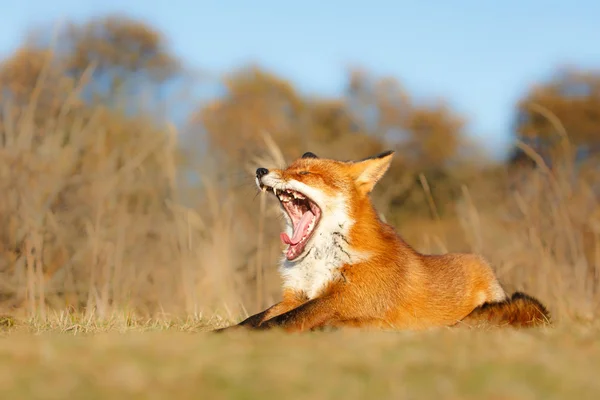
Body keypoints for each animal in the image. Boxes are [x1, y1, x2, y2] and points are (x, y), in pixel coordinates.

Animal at [218, 150, 552, 332]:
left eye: (304, 172)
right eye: (288, 167)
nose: (260, 170)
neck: (318, 262)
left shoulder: (347, 297)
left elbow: (280, 322)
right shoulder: (296, 295)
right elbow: (255, 318)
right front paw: (223, 332)